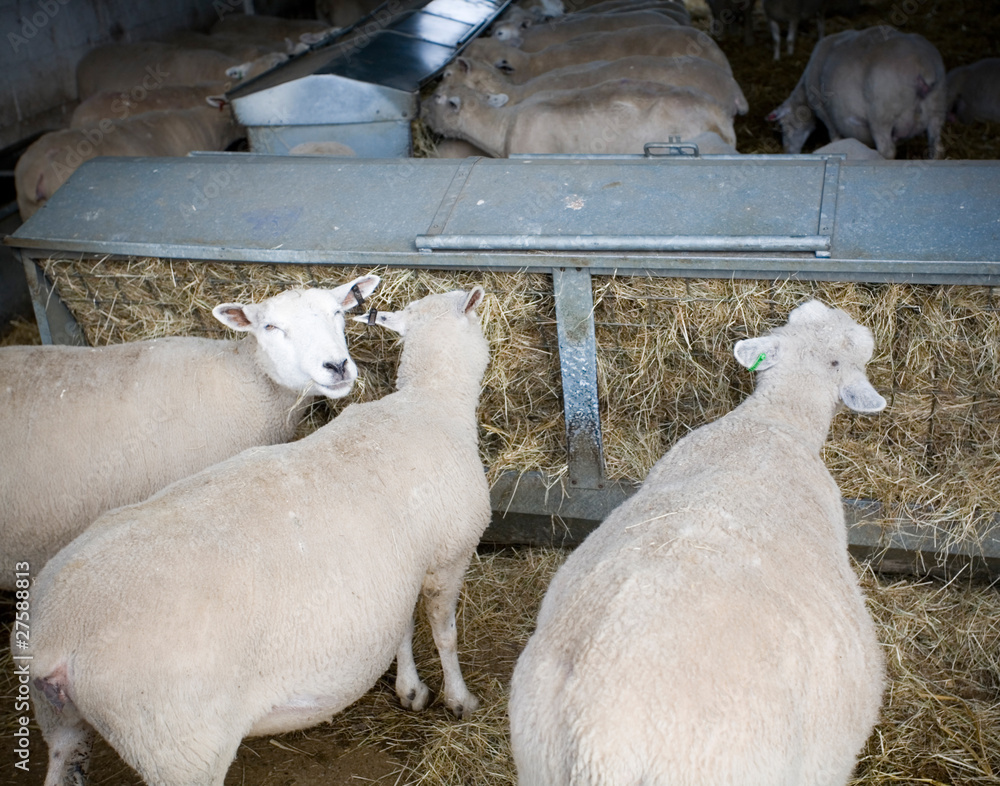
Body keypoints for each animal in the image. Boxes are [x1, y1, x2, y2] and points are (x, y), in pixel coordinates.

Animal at [766, 25, 946, 159]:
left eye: (784, 125)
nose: (787, 152)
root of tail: (922, 67)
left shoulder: (826, 114)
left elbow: (835, 138)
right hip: (936, 111)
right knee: (936, 148)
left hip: (882, 115)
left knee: (887, 151)